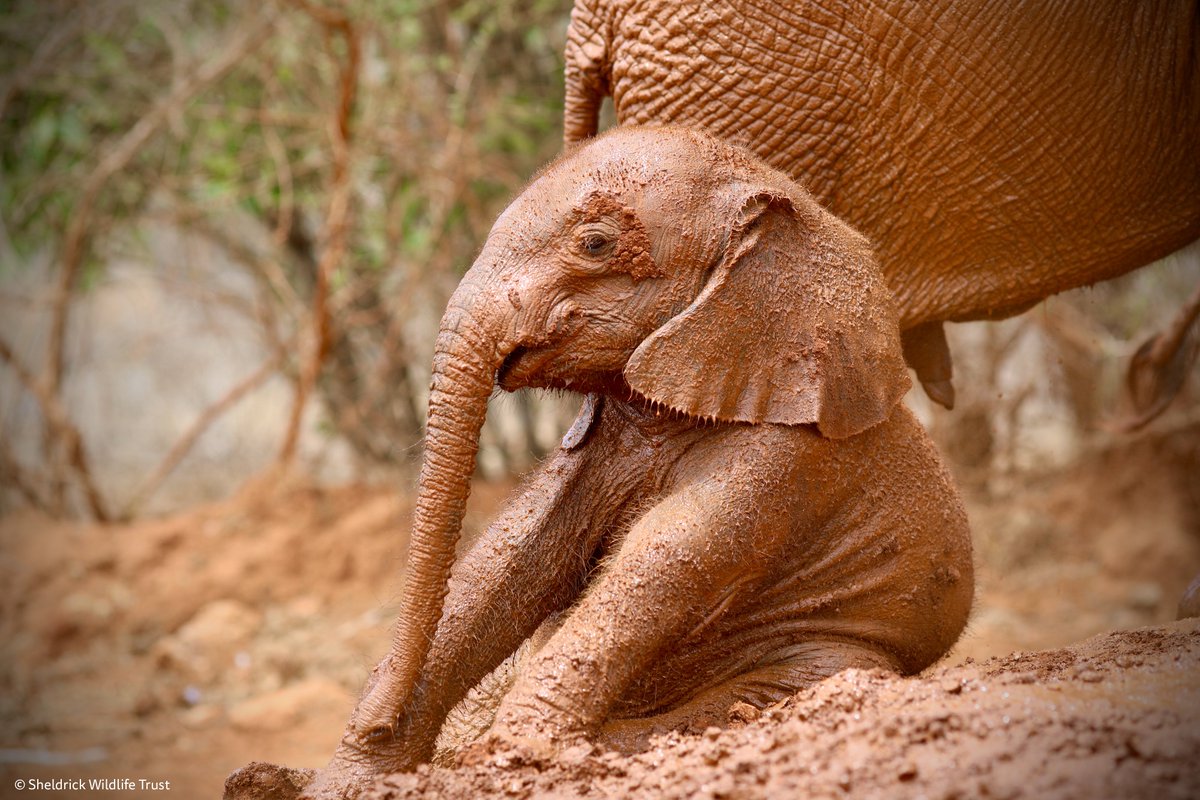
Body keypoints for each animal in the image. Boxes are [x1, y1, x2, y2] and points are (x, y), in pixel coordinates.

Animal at [293, 127, 973, 799]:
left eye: (595, 245)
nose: (382, 717)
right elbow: (514, 559)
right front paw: (351, 779)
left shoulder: (788, 453)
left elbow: (669, 554)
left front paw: (509, 763)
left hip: (840, 651)